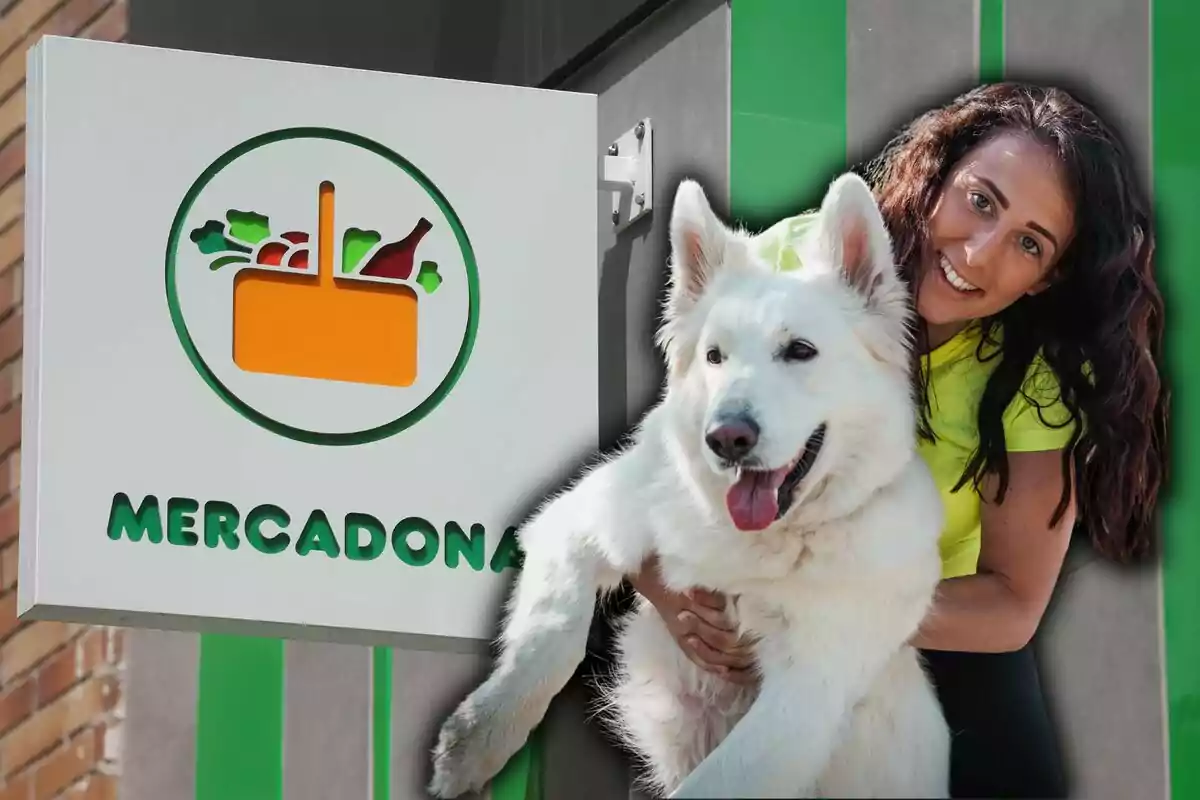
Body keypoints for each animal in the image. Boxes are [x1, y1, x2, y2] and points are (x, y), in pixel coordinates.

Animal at [429, 172, 945, 796]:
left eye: (800, 350)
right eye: (714, 356)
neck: (754, 540)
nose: (726, 438)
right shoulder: (575, 522)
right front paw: (475, 744)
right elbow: (551, 636)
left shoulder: (803, 697)